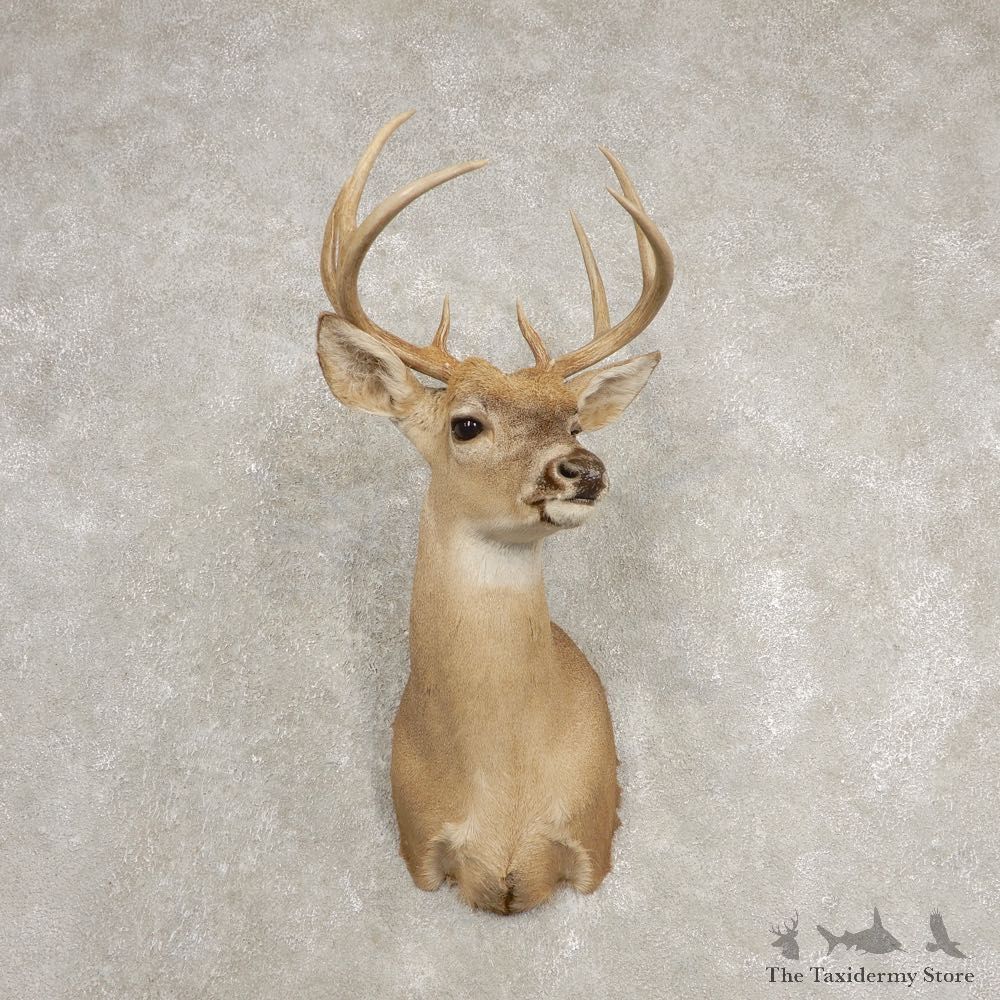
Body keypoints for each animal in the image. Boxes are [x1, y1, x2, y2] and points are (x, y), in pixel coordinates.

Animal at [315, 111, 674, 914]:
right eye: (466, 424)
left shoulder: (595, 834)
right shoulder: (417, 845)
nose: (584, 470)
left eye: (574, 422)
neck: (505, 790)